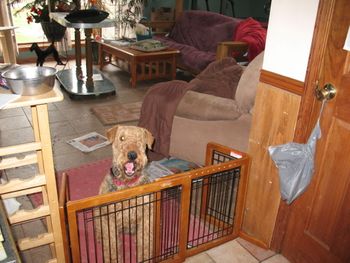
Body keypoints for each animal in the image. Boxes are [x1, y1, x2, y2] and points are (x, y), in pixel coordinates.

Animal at [96, 126, 155, 263]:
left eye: (140, 138)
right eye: (122, 138)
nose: (132, 155)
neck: (128, 184)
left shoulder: (145, 215)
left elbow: (145, 242)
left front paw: (145, 258)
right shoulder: (110, 219)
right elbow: (112, 245)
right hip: (98, 213)